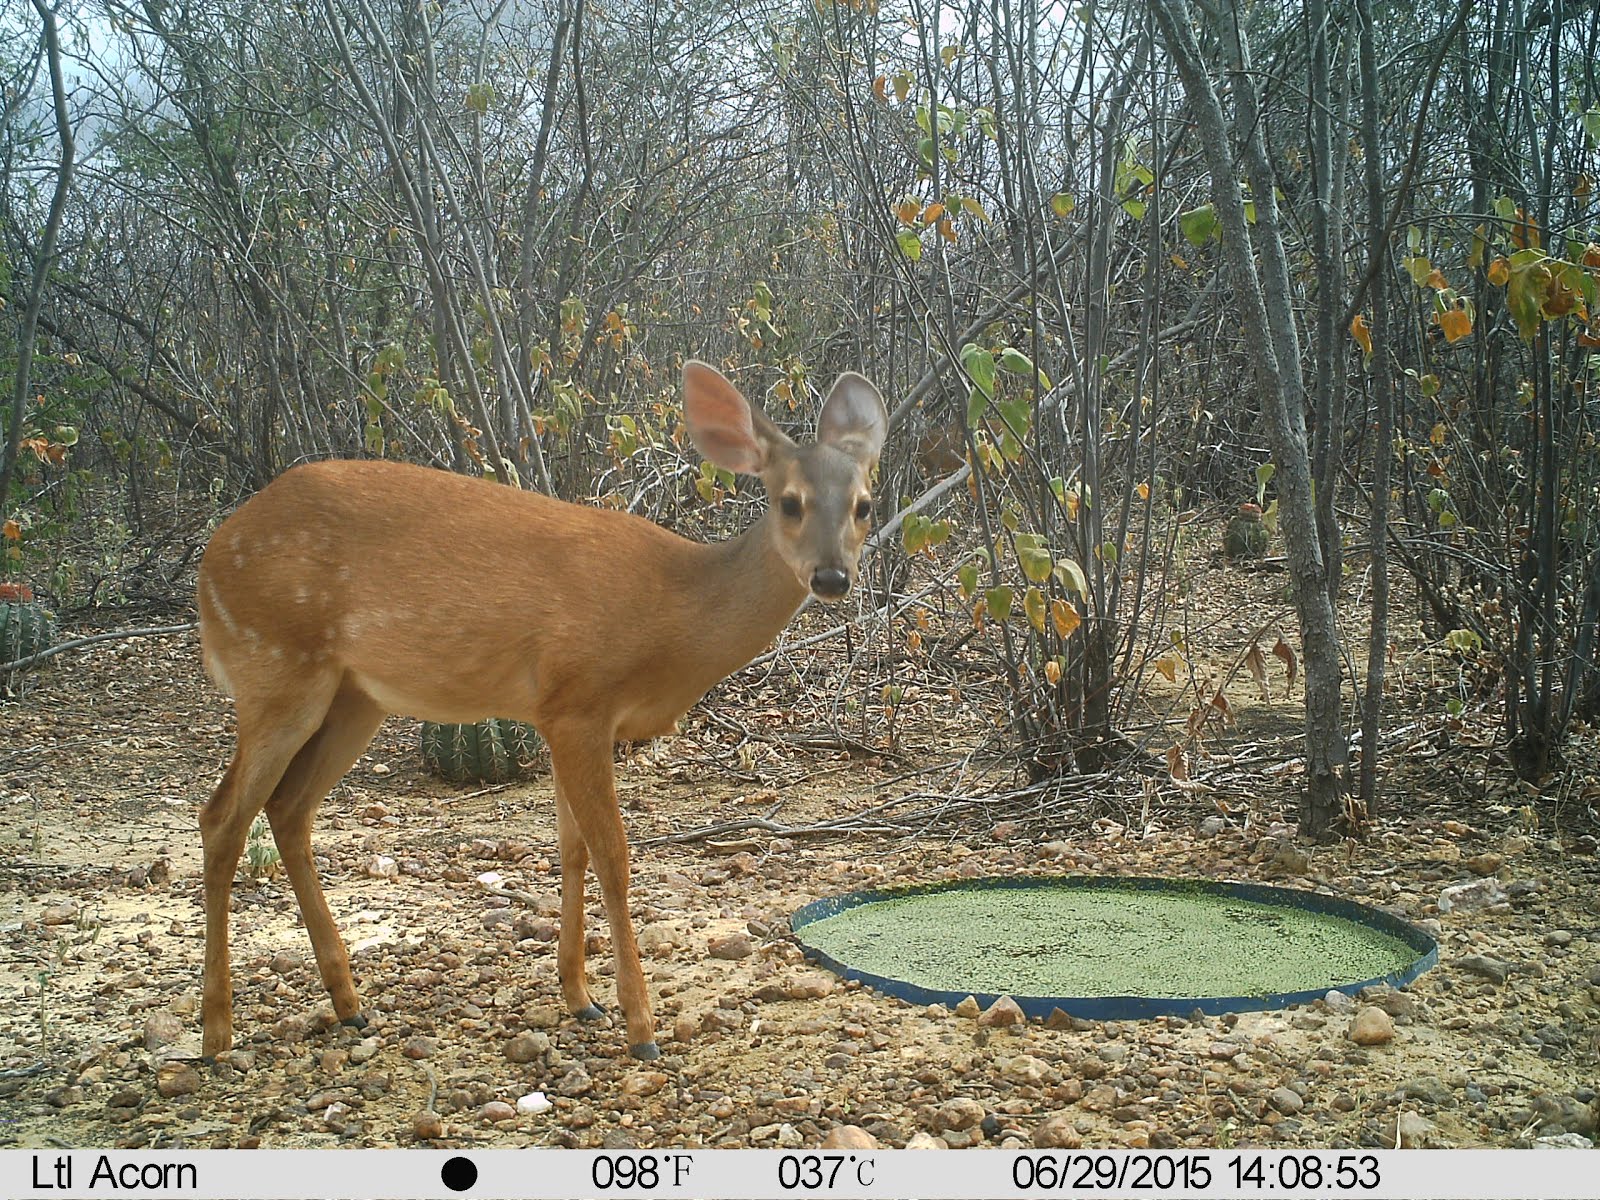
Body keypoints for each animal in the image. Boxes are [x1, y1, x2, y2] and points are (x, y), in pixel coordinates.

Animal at [198, 360, 889, 1062]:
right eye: (790, 501)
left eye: (865, 504)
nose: (832, 577)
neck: (674, 612)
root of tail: (209, 563)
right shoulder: (579, 700)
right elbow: (613, 856)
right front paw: (640, 1026)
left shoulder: (562, 716)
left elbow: (571, 849)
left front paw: (580, 997)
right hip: (276, 667)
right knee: (223, 816)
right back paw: (216, 1032)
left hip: (353, 698)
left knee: (288, 809)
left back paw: (348, 1005)